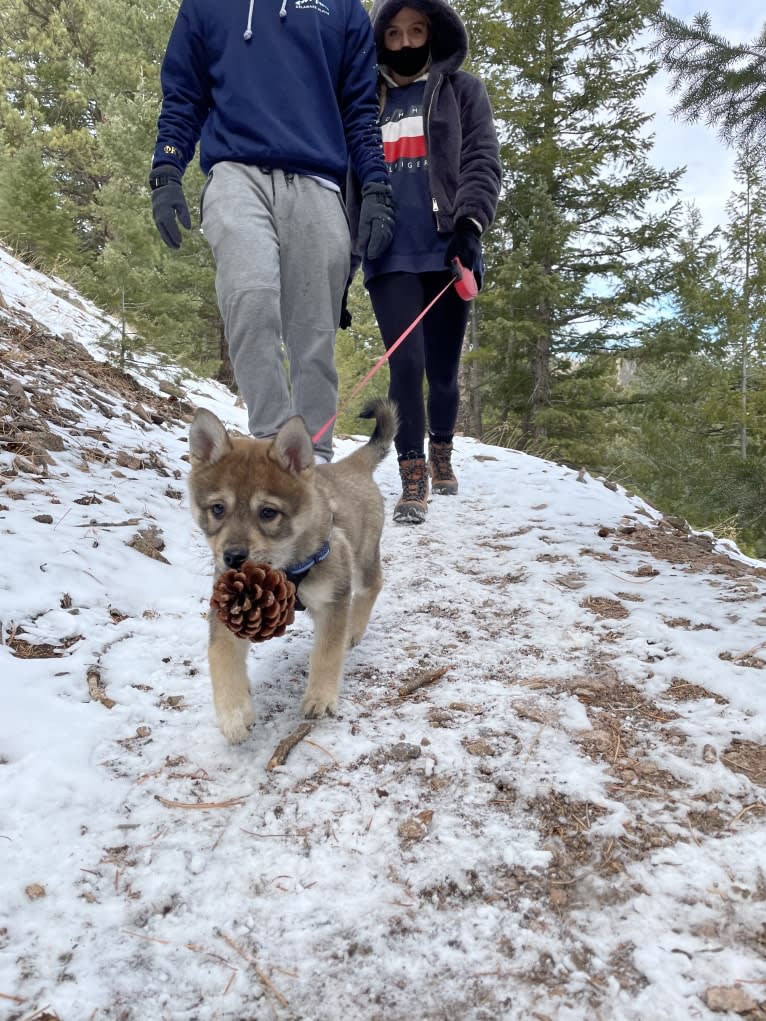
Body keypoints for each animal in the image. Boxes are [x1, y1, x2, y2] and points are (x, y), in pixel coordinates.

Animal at [187, 396, 398, 743]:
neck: (284, 567)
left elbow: (326, 654)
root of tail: (352, 465)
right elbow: (220, 657)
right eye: (218, 509)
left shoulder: (332, 602)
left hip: (364, 559)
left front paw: (321, 696)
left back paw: (354, 630)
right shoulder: (227, 610)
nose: (232, 557)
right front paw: (233, 713)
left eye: (268, 512)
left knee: (374, 585)